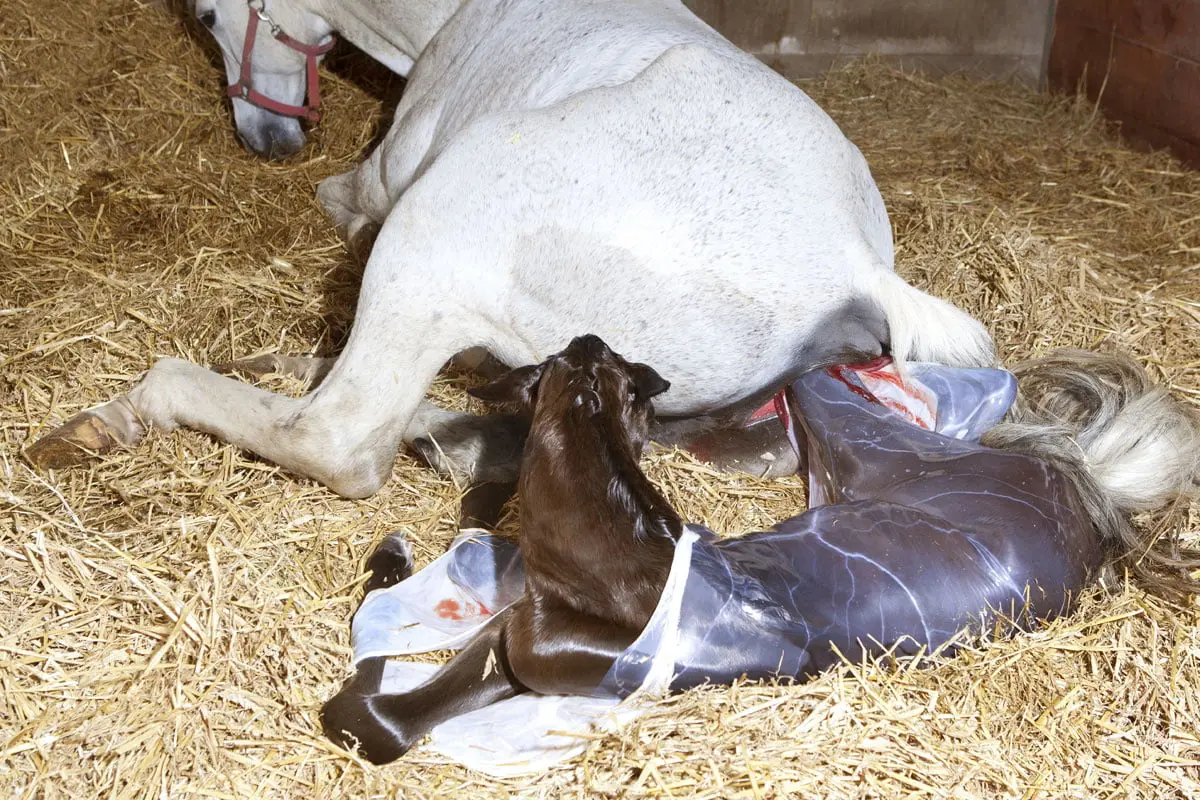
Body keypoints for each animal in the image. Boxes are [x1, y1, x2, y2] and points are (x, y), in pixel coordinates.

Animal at [25, 0, 994, 498]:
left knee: (343, 437)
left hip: (436, 233)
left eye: (210, 11)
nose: (266, 139)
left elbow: (342, 209)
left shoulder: (379, 192)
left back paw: (119, 413)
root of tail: (854, 268)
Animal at [319, 335, 1200, 764]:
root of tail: (1083, 489)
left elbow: (375, 702)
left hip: (868, 444)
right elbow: (388, 717)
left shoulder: (532, 643)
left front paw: (397, 553)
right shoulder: (516, 648)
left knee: (826, 385)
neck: (624, 560)